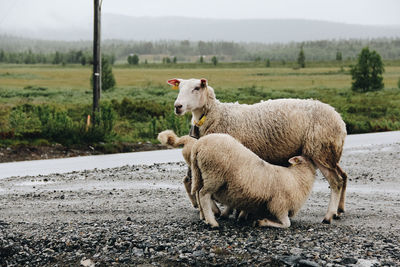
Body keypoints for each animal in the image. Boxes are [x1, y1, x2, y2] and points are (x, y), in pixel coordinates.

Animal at [167, 78, 348, 224]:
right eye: (179, 87)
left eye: (196, 88)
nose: (177, 106)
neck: (217, 115)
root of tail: (339, 118)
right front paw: (233, 212)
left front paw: (234, 213)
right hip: (328, 154)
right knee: (342, 177)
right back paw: (338, 211)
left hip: (321, 150)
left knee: (336, 182)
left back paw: (329, 216)